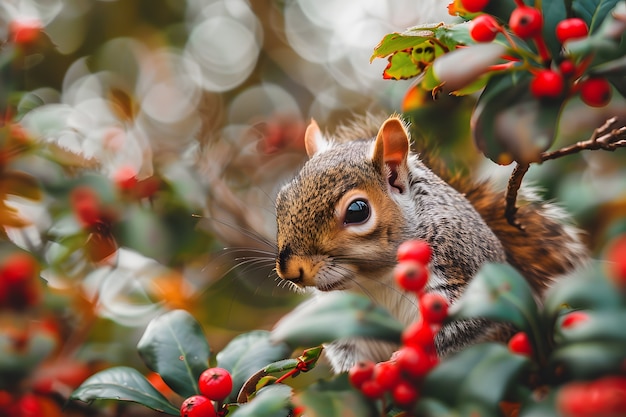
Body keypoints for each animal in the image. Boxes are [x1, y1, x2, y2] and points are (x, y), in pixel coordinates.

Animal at [272, 113, 584, 370]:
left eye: (357, 211)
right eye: (281, 200)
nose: (291, 270)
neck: (376, 279)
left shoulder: (459, 266)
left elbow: (462, 326)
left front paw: (402, 359)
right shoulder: (344, 315)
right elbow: (348, 349)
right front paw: (357, 372)